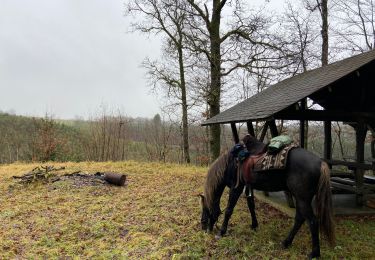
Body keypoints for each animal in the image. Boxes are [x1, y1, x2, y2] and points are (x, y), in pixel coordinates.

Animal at [200, 135, 334, 258]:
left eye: (205, 210)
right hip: (300, 198)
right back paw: (286, 243)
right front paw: (254, 225)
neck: (232, 162)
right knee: (299, 219)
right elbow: (251, 206)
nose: (204, 228)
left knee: (312, 221)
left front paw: (222, 232)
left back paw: (314, 253)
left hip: (302, 199)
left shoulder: (236, 187)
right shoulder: (248, 186)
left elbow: (229, 210)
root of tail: (321, 163)